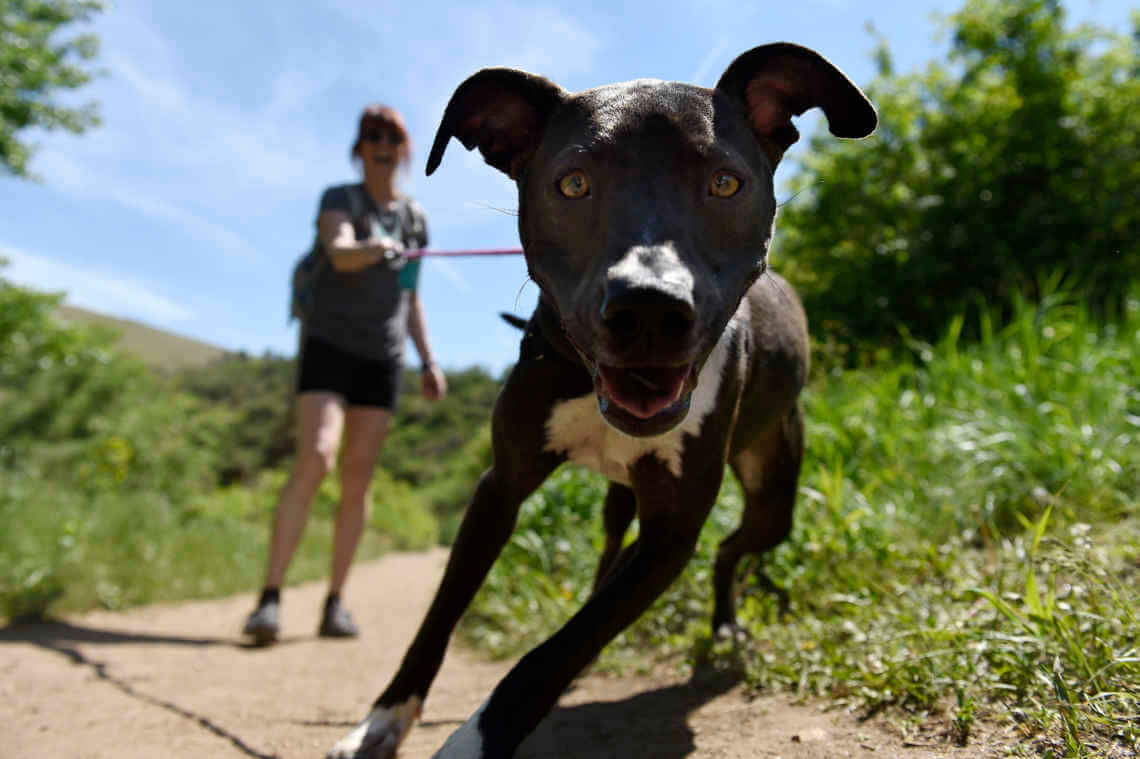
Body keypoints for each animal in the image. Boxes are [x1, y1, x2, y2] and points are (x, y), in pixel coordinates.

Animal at [328, 41, 870, 756]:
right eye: (573, 184)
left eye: (726, 183)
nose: (649, 310)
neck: (587, 382)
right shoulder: (500, 487)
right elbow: (440, 614)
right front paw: (383, 720)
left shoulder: (672, 532)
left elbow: (550, 656)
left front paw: (475, 739)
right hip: (624, 498)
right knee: (615, 546)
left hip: (773, 494)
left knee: (730, 550)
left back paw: (725, 627)